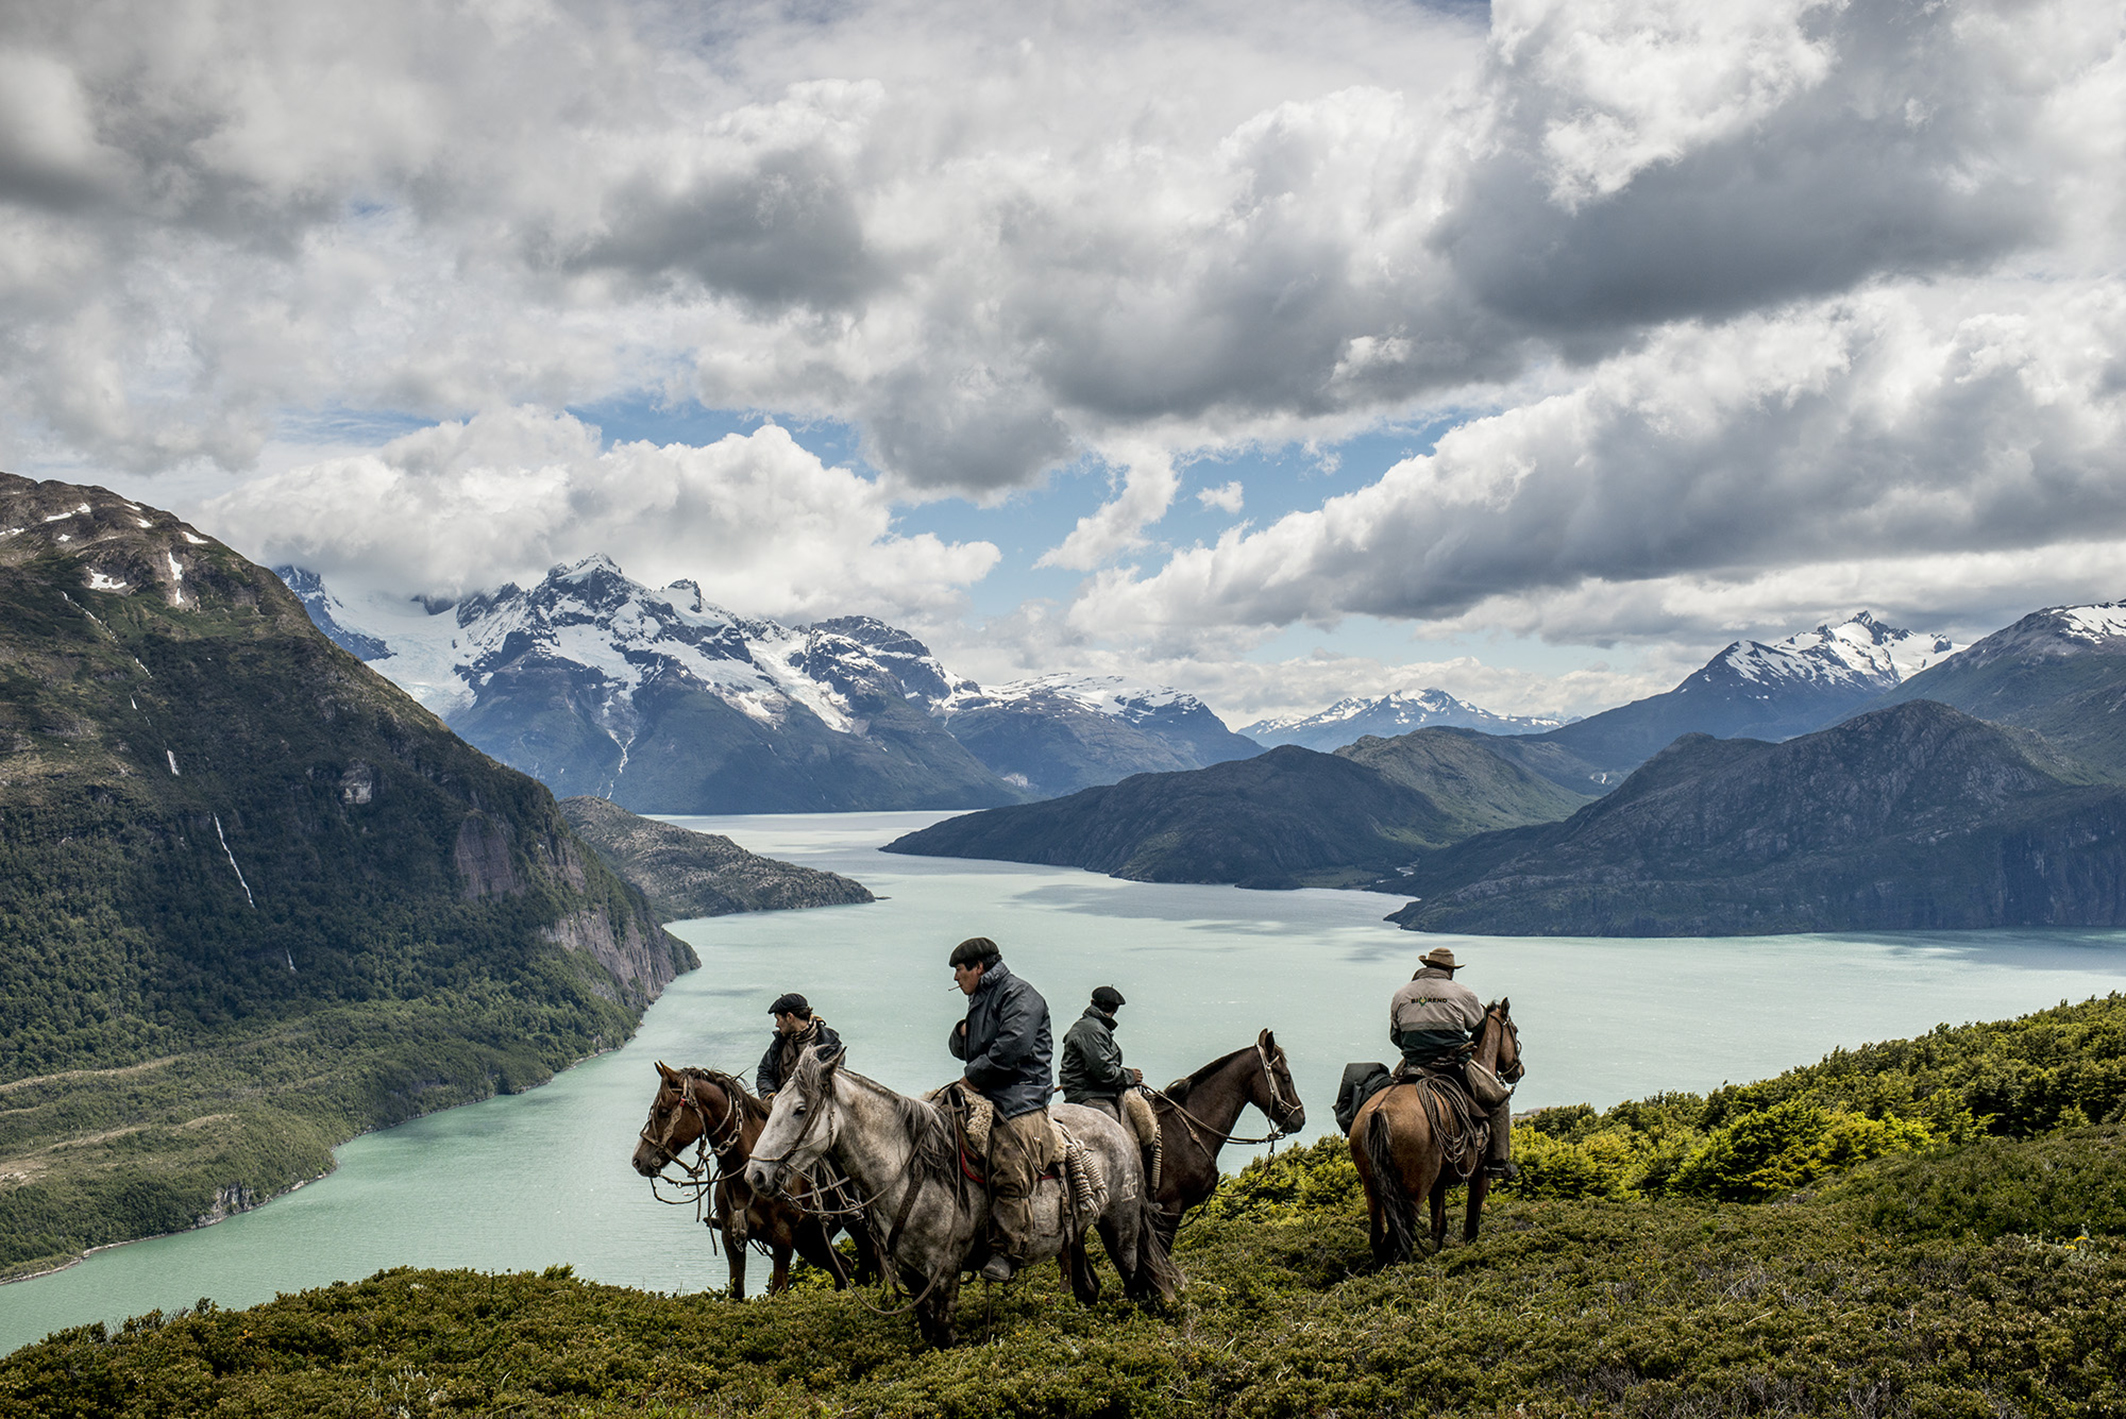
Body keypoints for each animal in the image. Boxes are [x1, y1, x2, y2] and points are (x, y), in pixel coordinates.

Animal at [625, 1055, 875, 1301]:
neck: (745, 1180)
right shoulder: (731, 1239)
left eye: (664, 1111)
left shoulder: (782, 1240)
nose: (638, 1160)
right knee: (844, 1268)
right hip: (812, 1239)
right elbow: (736, 1293)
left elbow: (778, 1291)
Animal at [744, 1050, 1182, 1353]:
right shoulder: (911, 1274)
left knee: (1137, 1282)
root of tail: (1116, 1127)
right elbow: (928, 1332)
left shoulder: (945, 1272)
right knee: (1089, 1287)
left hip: (1121, 1229)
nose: (755, 1176)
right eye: (774, 1105)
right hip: (1074, 1236)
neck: (911, 1169)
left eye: (800, 1109)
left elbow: (943, 1336)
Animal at [1352, 999, 1522, 1267]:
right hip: (1414, 1189)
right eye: (1513, 1030)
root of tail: (1380, 1112)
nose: (1518, 1069)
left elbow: (1439, 1226)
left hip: (1374, 1187)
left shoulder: (1438, 1184)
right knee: (1399, 1236)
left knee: (1379, 1237)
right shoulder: (1480, 1177)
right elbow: (1471, 1225)